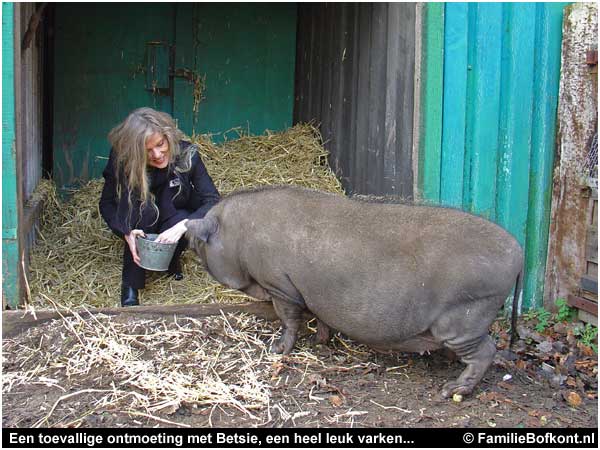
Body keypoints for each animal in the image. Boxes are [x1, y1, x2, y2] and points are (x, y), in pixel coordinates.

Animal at [185, 184, 524, 398]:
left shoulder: (280, 285)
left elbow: (289, 319)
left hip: (465, 317)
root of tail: (519, 252)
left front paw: (277, 350)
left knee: (486, 351)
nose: (188, 236)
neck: (239, 236)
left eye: (203, 240)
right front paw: (321, 342)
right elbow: (320, 317)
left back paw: (451, 391)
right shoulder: (311, 293)